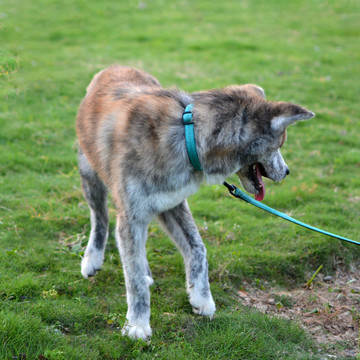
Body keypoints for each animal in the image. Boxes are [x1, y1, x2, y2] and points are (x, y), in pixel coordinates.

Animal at [75, 66, 312, 338]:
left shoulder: (173, 203)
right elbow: (133, 279)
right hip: (90, 177)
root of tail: (115, 67)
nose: (287, 172)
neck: (187, 135)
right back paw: (92, 258)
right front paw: (137, 325)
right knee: (100, 217)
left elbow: (198, 248)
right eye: (279, 144)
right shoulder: (131, 215)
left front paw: (201, 298)